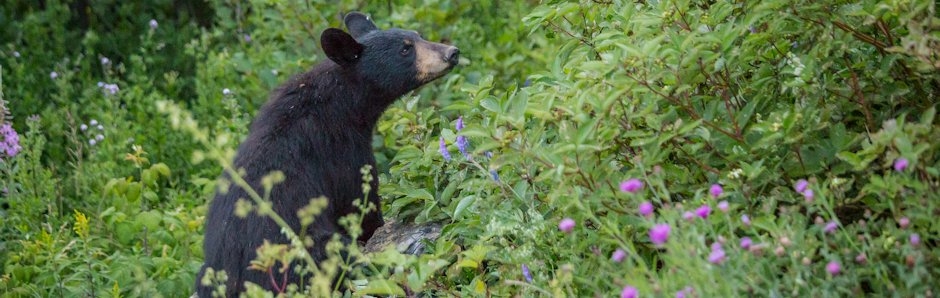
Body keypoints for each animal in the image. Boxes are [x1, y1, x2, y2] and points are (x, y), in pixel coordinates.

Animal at [197, 10, 458, 296]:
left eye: (418, 36)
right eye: (405, 49)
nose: (452, 52)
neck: (342, 103)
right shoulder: (341, 150)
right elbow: (358, 202)